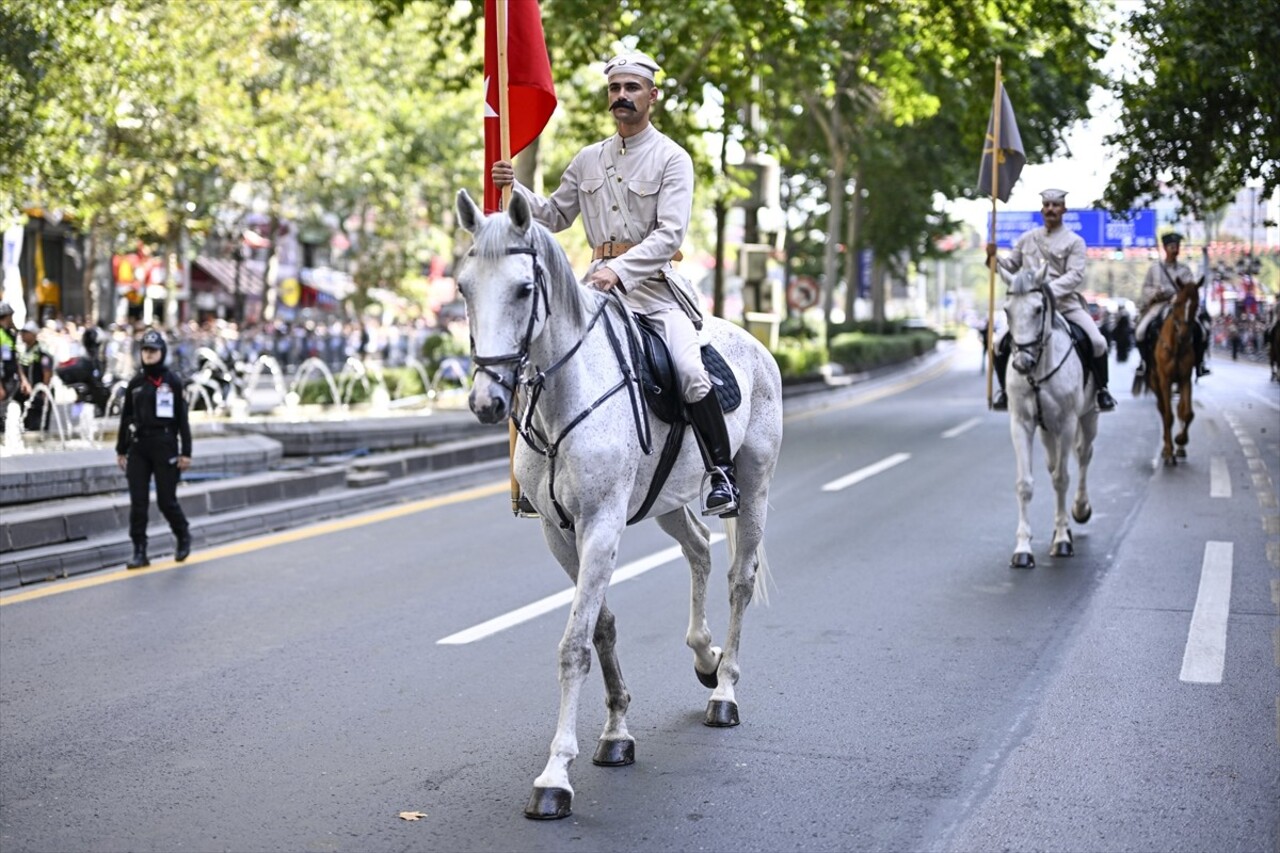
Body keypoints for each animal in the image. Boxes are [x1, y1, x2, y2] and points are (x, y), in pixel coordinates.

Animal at [455, 188, 783, 819]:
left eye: (524, 289)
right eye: (463, 287)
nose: (487, 401)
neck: (565, 396)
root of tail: (756, 343)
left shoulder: (602, 524)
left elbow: (574, 645)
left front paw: (555, 775)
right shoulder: (561, 532)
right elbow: (601, 627)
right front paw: (615, 733)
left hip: (753, 485)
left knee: (740, 577)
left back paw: (725, 689)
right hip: (669, 499)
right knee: (699, 550)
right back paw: (704, 658)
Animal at [998, 262, 1100, 568]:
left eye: (1038, 309)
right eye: (1006, 310)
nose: (1022, 362)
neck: (1039, 370)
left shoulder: (1067, 423)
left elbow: (1061, 479)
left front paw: (1063, 541)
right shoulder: (1021, 423)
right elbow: (1025, 484)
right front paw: (1022, 549)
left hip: (1088, 418)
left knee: (1082, 456)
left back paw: (1078, 510)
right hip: (1046, 430)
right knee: (1053, 462)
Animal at [1146, 277, 1203, 466]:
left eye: (1197, 304)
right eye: (1178, 303)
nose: (1185, 335)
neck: (1177, 346)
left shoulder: (1185, 378)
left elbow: (1187, 413)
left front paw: (1180, 440)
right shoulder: (1164, 380)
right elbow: (1168, 415)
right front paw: (1169, 451)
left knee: (1178, 409)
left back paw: (1179, 448)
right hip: (1155, 381)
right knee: (1163, 410)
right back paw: (1166, 448)